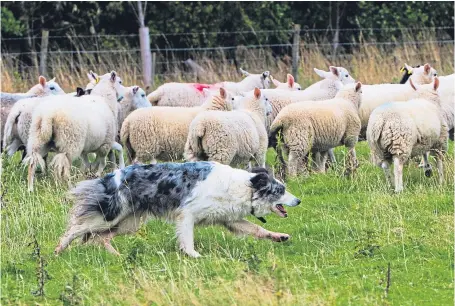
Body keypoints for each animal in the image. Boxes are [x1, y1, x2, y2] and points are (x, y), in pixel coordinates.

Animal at [55, 161, 302, 256]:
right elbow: (187, 239)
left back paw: (116, 256)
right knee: (74, 229)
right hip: (110, 215)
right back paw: (58, 251)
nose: (299, 200)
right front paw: (194, 256)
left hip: (128, 223)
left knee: (100, 238)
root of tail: (110, 176)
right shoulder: (187, 214)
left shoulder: (230, 218)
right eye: (280, 190)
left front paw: (279, 236)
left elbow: (258, 230)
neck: (244, 186)